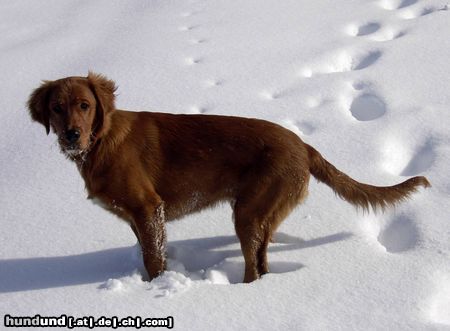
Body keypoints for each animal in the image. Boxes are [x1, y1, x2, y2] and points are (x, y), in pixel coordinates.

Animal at [26, 72, 430, 282]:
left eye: (85, 105)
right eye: (56, 108)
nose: (71, 135)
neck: (100, 142)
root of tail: (302, 144)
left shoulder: (148, 208)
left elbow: (154, 259)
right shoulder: (138, 217)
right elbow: (147, 252)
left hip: (247, 213)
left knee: (254, 264)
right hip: (263, 213)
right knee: (263, 259)